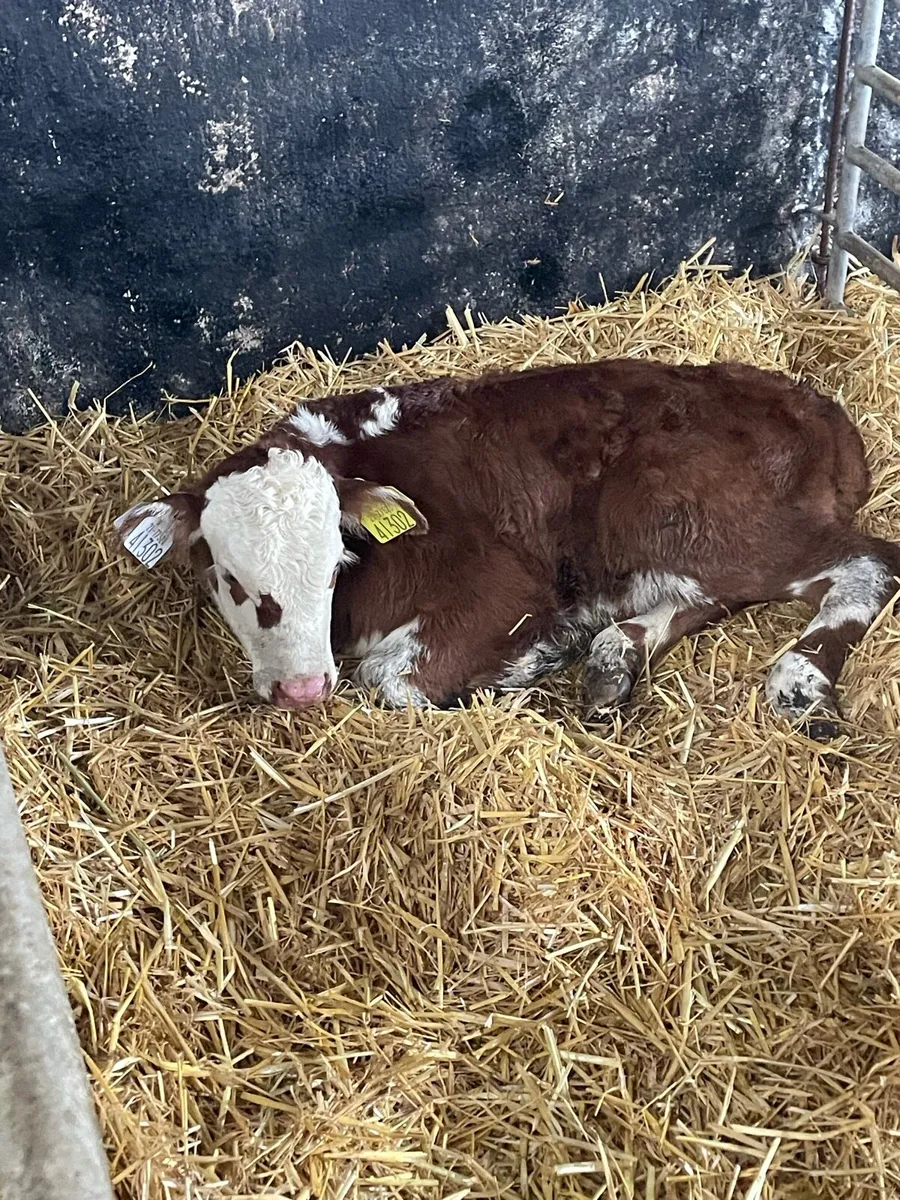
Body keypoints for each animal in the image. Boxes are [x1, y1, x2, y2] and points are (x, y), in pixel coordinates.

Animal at [114, 360, 900, 738]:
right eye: (226, 577)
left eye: (335, 565)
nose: (303, 688)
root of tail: (818, 410)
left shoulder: (500, 588)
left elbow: (395, 681)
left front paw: (523, 662)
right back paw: (612, 660)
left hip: (701, 519)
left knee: (869, 560)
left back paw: (799, 681)